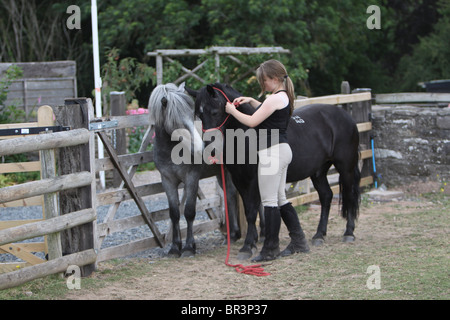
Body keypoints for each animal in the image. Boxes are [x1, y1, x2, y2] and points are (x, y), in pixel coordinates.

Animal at [187, 83, 362, 260]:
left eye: (215, 112)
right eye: (199, 115)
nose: (210, 148)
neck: (248, 136)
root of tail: (345, 116)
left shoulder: (253, 181)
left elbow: (252, 212)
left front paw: (247, 247)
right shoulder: (240, 181)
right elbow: (250, 211)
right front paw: (252, 243)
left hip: (345, 168)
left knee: (349, 195)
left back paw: (348, 233)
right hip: (318, 172)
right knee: (326, 196)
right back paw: (319, 235)